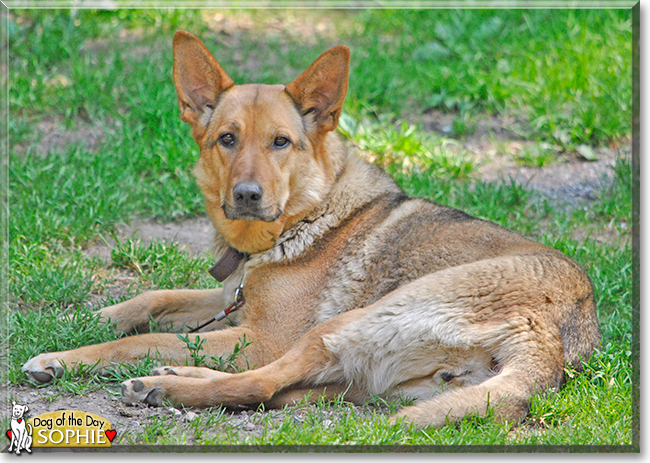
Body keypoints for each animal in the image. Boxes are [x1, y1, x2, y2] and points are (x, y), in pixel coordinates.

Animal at [21, 31, 596, 432]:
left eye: (281, 142)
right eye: (227, 139)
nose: (248, 195)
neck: (301, 219)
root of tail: (551, 341)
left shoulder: (260, 337)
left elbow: (145, 339)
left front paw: (61, 357)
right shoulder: (229, 299)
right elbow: (155, 297)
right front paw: (92, 316)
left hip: (343, 325)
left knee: (257, 384)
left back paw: (167, 386)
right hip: (364, 380)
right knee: (269, 391)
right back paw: (178, 379)